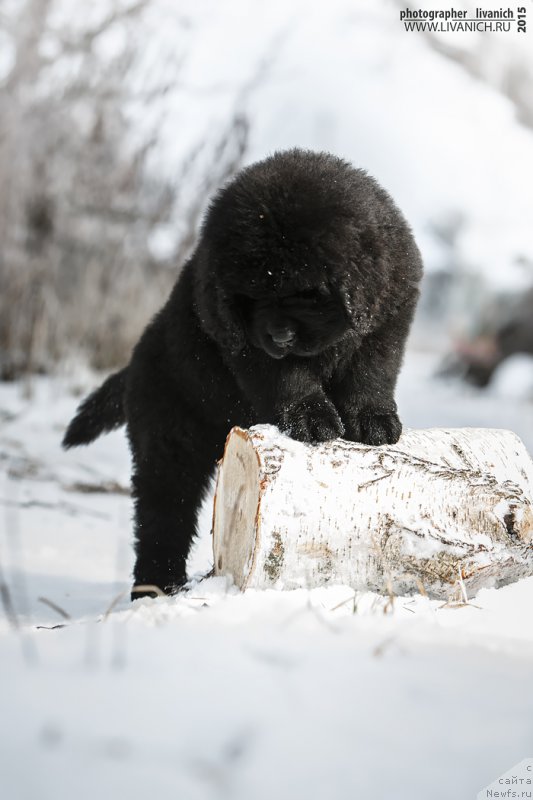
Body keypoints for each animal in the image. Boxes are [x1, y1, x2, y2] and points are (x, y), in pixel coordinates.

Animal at [62, 152, 422, 600]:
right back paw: (157, 587)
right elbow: (286, 377)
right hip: (170, 434)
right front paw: (311, 419)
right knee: (163, 510)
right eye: (250, 298)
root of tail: (133, 365)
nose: (279, 335)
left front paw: (375, 421)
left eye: (305, 295)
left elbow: (373, 369)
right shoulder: (242, 340)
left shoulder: (391, 311)